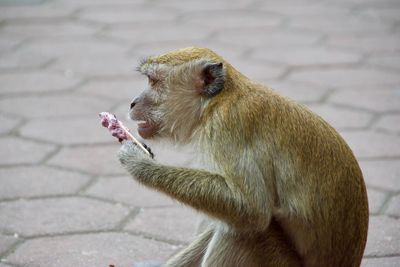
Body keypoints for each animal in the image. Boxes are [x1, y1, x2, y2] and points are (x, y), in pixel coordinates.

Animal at [119, 47, 368, 267]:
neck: (216, 101)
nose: (132, 102)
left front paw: (139, 164)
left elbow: (251, 208)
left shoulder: (226, 125)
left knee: (242, 233)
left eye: (153, 81)